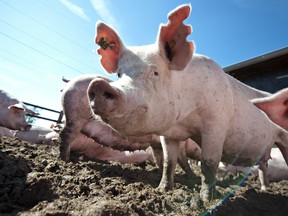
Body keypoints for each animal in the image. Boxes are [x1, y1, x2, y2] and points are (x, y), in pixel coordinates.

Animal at [87, 3, 288, 202]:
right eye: (119, 74)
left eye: (155, 72)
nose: (98, 85)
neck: (185, 121)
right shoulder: (168, 134)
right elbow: (169, 162)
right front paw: (162, 190)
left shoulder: (216, 123)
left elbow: (209, 162)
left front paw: (206, 200)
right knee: (263, 167)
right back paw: (264, 189)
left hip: (283, 135)